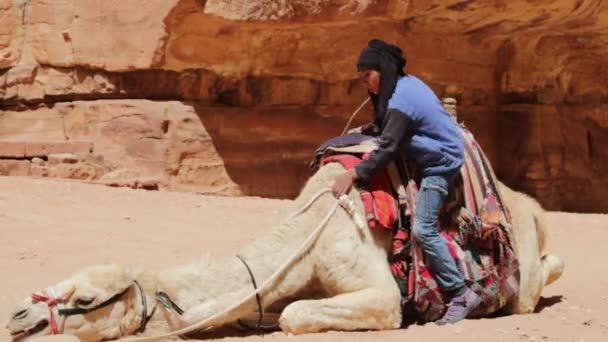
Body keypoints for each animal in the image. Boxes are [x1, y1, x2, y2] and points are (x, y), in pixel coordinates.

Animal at [5, 162, 564, 340]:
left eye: (84, 300)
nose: (16, 317)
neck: (303, 243)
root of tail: (525, 204)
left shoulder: (376, 290)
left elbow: (298, 315)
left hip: (520, 272)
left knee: (537, 279)